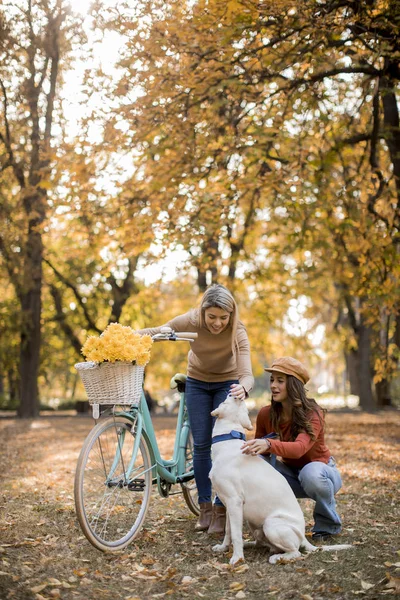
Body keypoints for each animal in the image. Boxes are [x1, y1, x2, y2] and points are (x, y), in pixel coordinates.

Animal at [209, 392, 350, 564]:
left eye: (225, 402)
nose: (236, 394)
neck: (228, 438)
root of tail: (304, 537)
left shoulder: (234, 502)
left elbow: (235, 534)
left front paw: (237, 559)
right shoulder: (229, 504)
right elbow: (229, 530)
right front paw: (223, 548)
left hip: (271, 524)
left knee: (296, 552)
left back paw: (277, 558)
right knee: (263, 543)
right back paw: (250, 544)